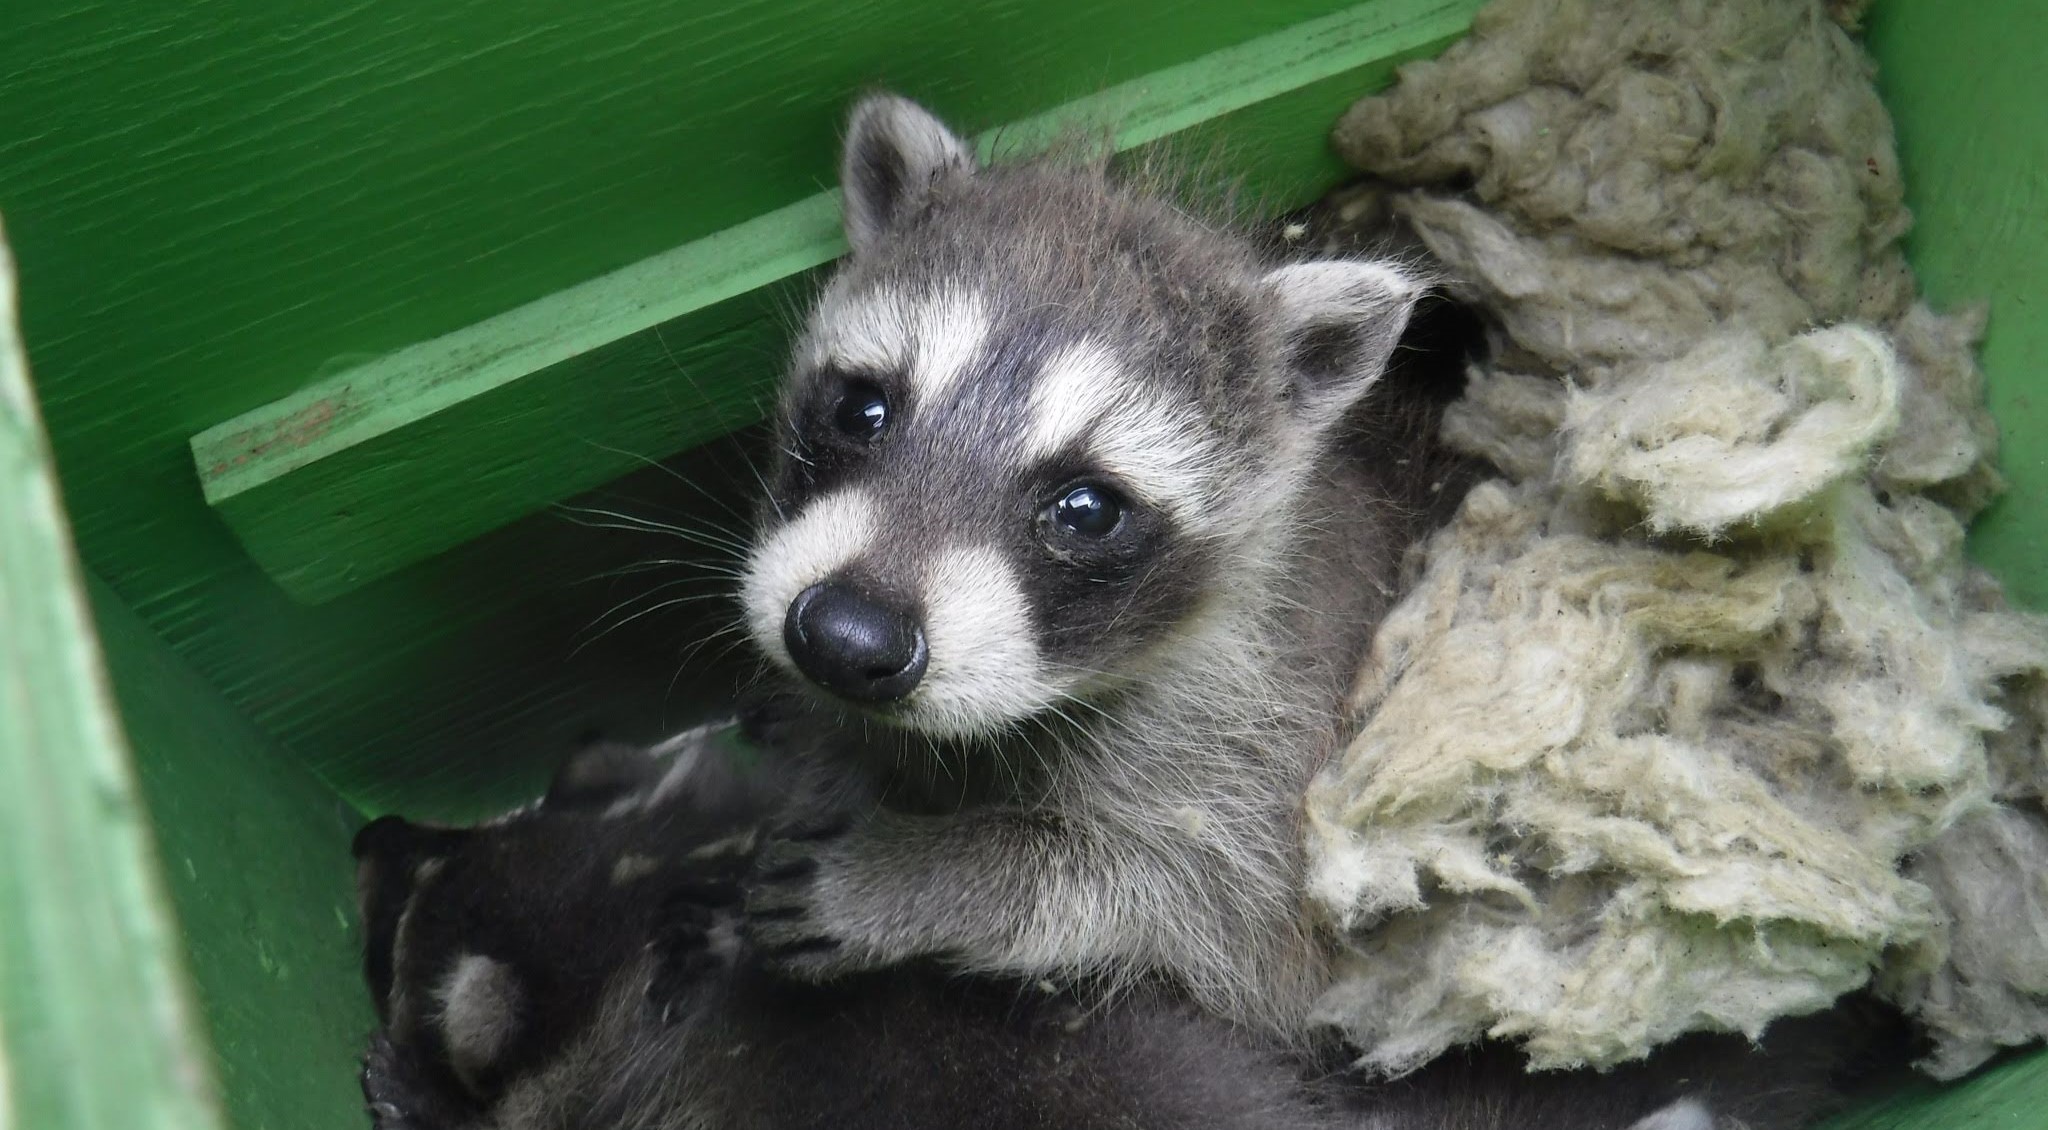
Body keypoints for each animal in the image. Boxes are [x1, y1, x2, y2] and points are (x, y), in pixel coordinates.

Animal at [734, 93, 1477, 1032]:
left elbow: (1195, 898)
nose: (843, 637)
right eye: (862, 409)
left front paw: (928, 873)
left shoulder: (1265, 740)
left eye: (1086, 510)